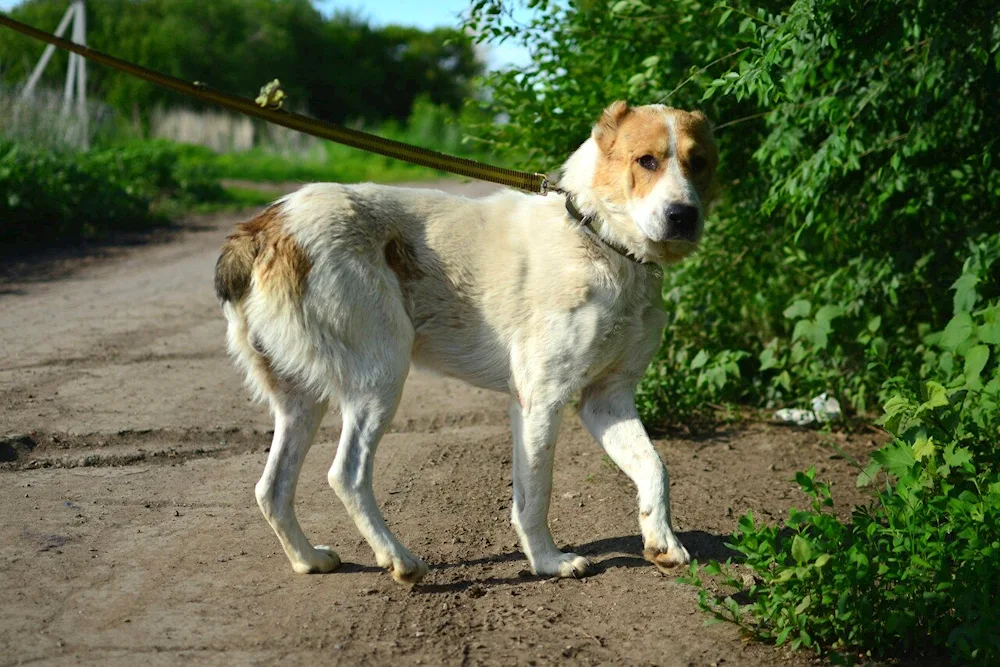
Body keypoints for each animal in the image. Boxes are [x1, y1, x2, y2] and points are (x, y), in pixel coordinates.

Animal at [219, 100, 720, 584]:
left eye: (699, 163)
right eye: (646, 160)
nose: (683, 215)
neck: (599, 239)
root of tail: (263, 227)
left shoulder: (607, 399)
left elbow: (655, 467)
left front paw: (662, 541)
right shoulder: (540, 401)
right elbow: (535, 495)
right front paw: (548, 562)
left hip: (301, 402)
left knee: (272, 489)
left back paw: (308, 559)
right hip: (379, 379)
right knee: (346, 475)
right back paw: (399, 559)